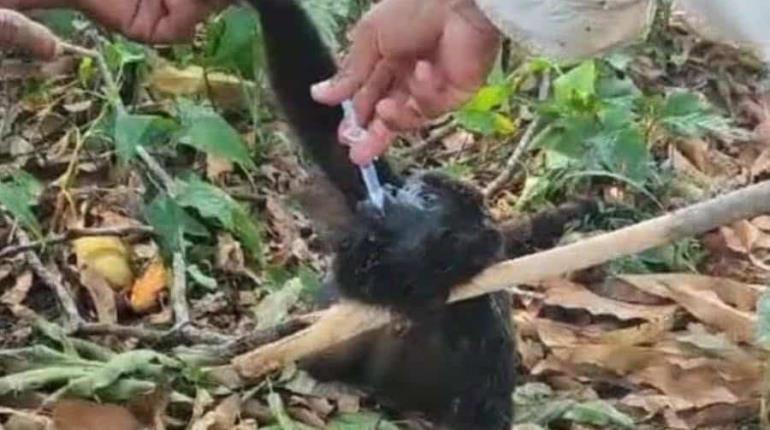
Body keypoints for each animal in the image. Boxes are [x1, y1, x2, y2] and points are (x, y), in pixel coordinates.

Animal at [246, 1, 592, 428]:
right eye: (410, 186)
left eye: (426, 198)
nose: (395, 193)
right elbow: (328, 134)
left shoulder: (482, 318)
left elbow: (485, 406)